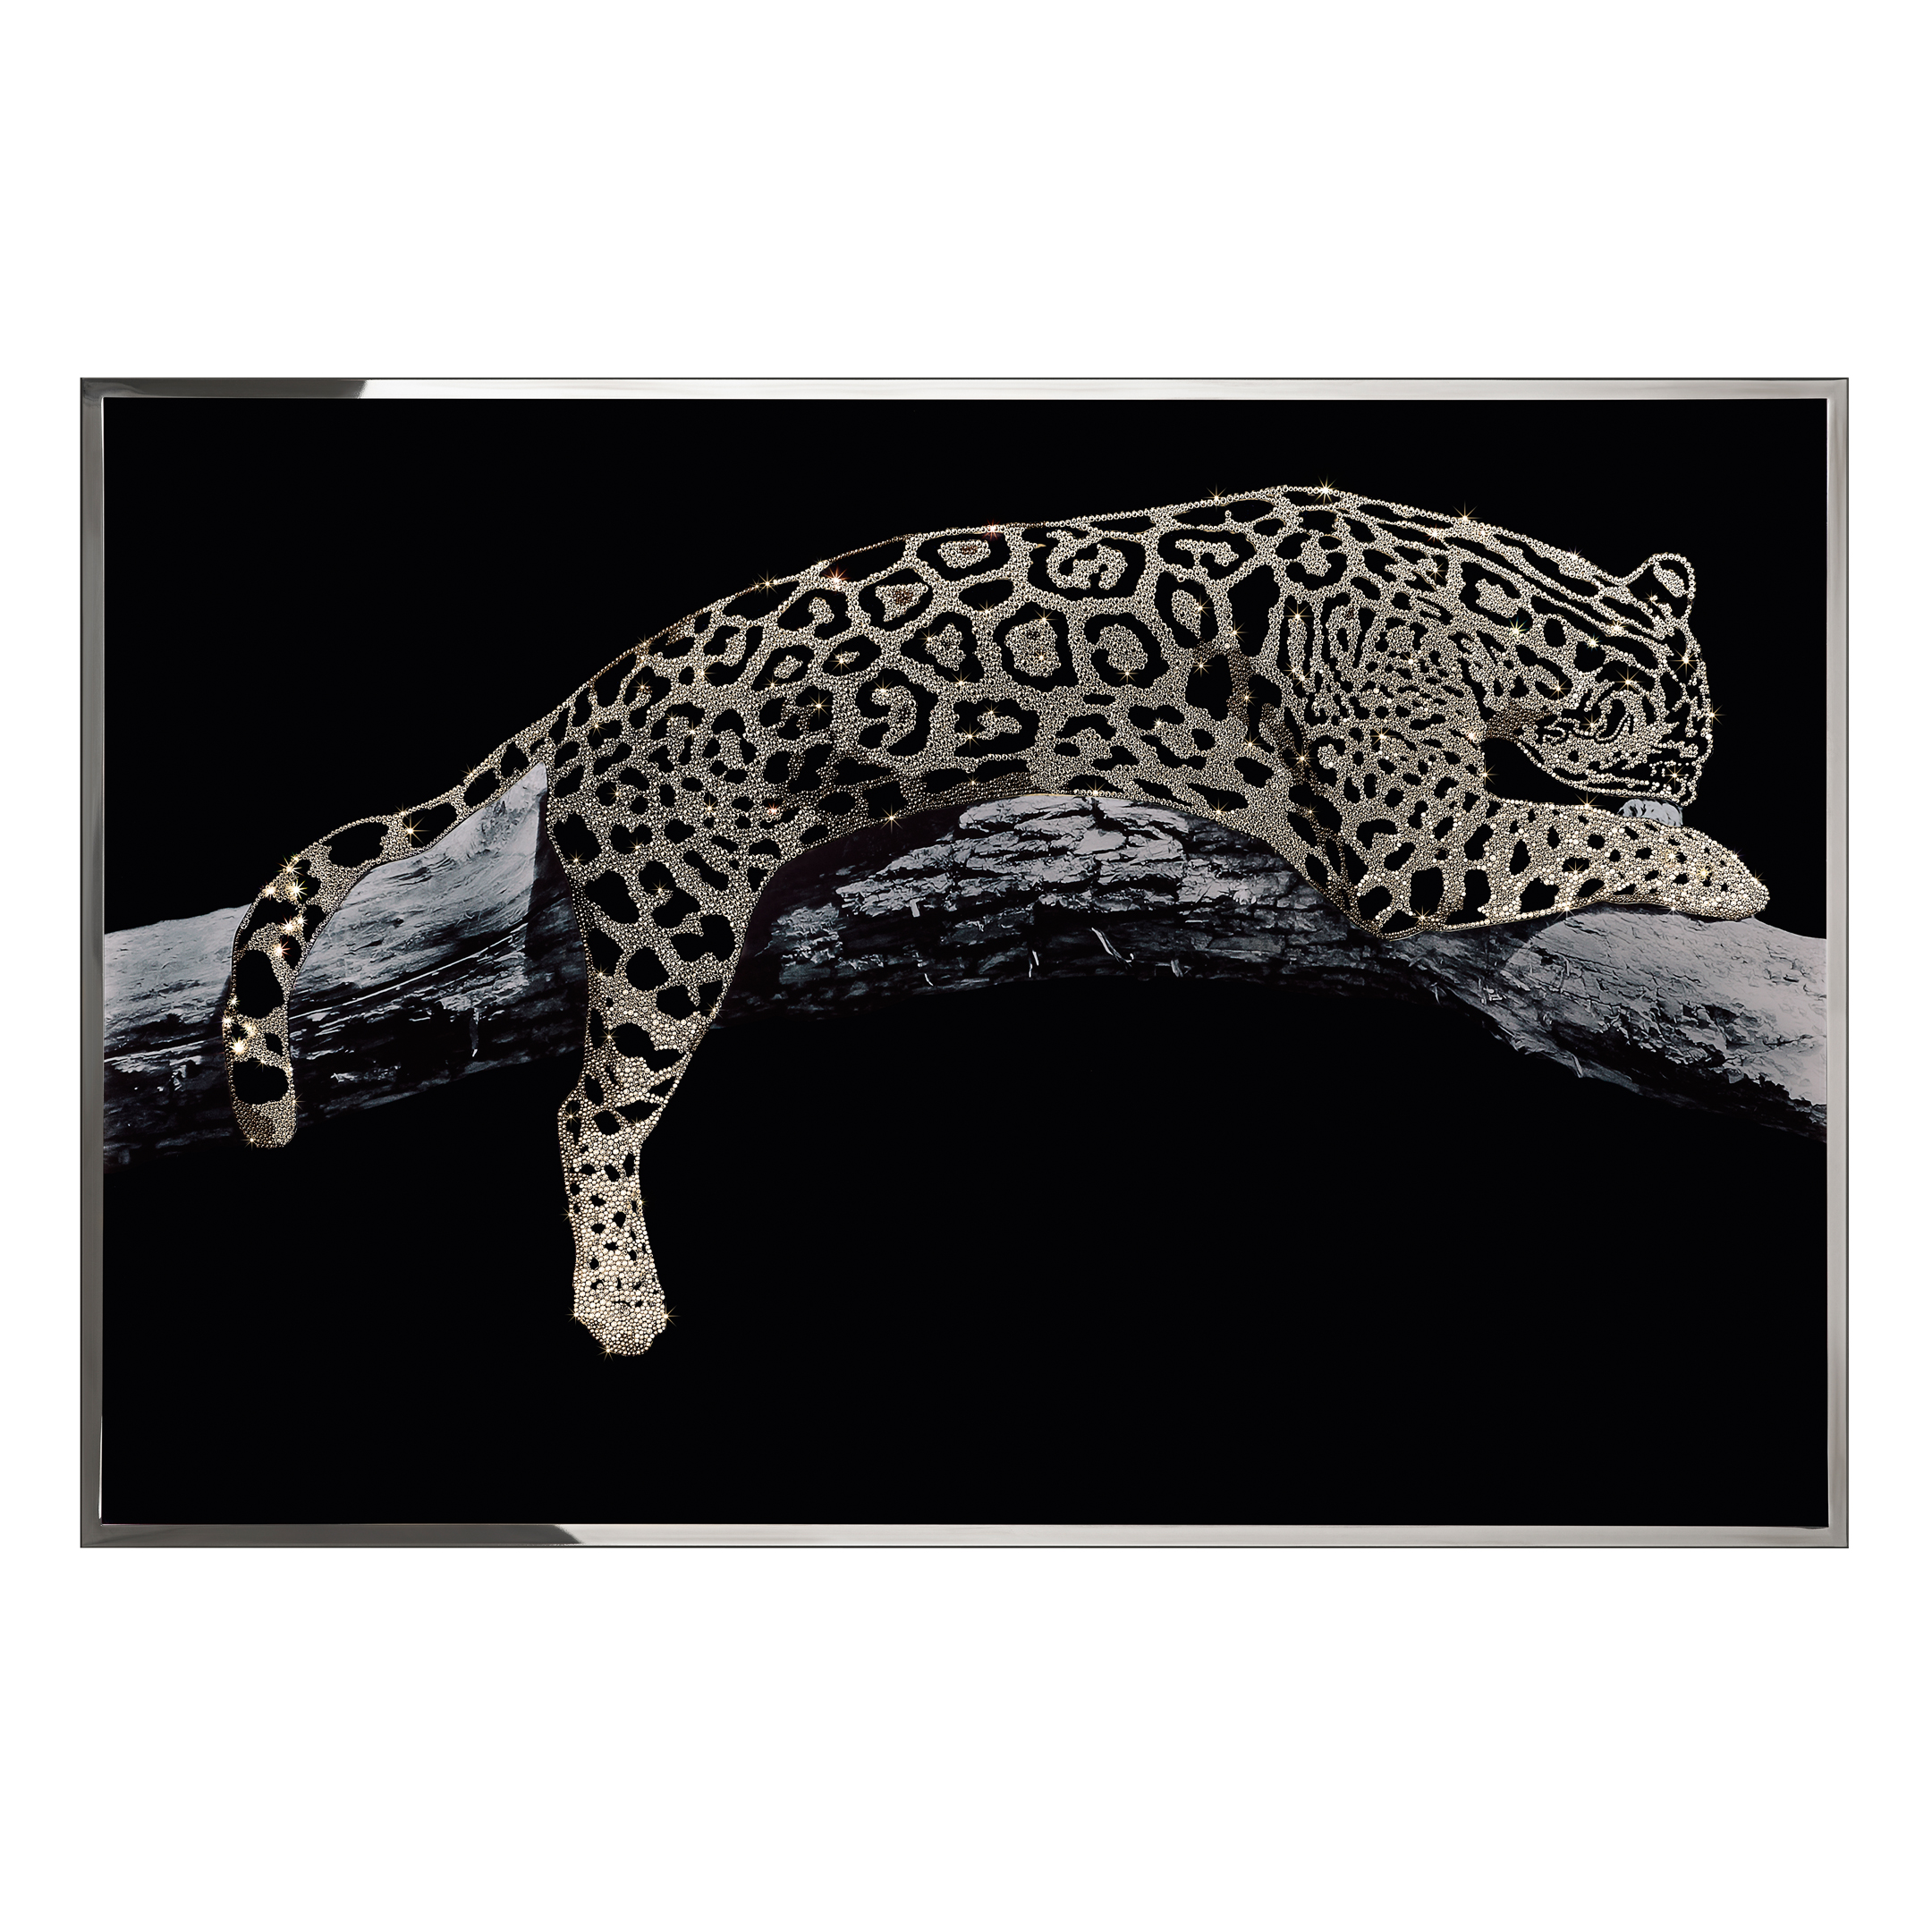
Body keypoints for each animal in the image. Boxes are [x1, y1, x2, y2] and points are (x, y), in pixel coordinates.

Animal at [221, 484, 1767, 1353]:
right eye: (1683, 753)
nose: (1697, 791)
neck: (1498, 600)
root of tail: (598, 683)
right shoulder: (1414, 836)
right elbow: (1560, 827)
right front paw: (1726, 871)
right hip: (669, 924)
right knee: (590, 1108)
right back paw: (618, 1304)